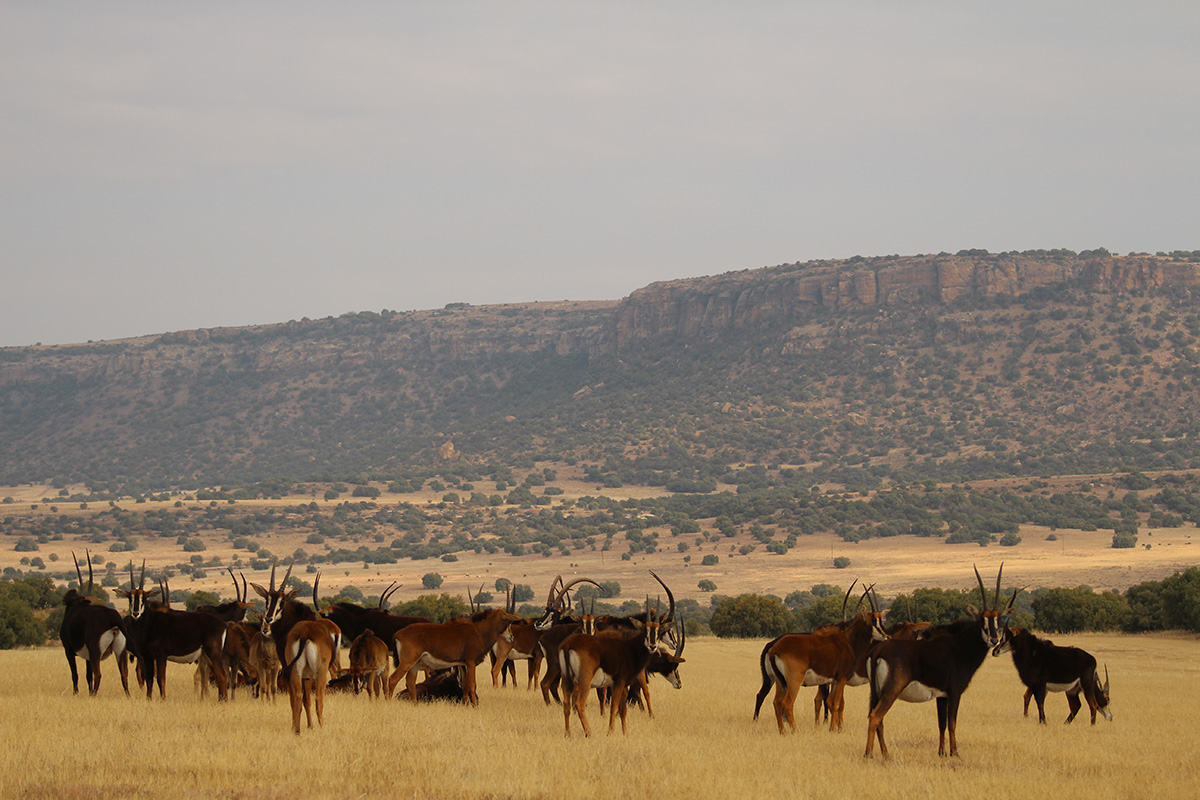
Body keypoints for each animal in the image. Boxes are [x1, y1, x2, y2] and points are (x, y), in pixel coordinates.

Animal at [60, 551, 130, 696]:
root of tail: (112, 617)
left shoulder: (68, 650)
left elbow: (75, 674)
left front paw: (76, 693)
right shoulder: (87, 657)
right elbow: (88, 676)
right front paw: (88, 691)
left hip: (95, 651)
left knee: (98, 674)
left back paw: (94, 696)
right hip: (121, 650)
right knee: (124, 674)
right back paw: (127, 696)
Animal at [387, 607, 520, 705]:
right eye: (508, 622)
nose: (512, 637)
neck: (478, 631)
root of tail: (398, 634)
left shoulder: (462, 664)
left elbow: (465, 686)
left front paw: (467, 705)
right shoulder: (471, 662)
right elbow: (472, 684)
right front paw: (474, 705)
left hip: (414, 665)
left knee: (410, 682)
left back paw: (415, 704)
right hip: (407, 662)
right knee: (393, 679)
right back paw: (389, 702)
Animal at [864, 565, 1015, 758]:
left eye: (998, 620)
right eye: (982, 619)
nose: (994, 639)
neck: (961, 646)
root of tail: (878, 651)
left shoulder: (942, 696)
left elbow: (941, 723)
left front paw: (942, 752)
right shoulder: (955, 692)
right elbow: (952, 722)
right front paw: (955, 753)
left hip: (876, 691)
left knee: (877, 718)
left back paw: (886, 754)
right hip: (891, 690)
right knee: (875, 716)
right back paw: (869, 754)